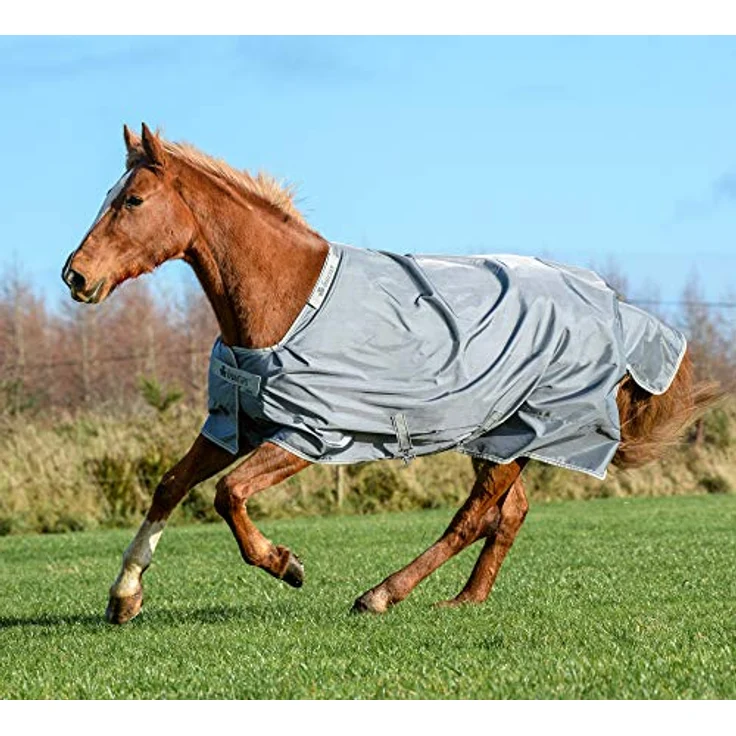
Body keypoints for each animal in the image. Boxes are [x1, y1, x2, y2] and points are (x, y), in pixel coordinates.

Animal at [62, 124, 718, 624]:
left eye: (132, 201)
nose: (76, 276)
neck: (288, 300)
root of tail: (616, 309)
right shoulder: (236, 423)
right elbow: (171, 485)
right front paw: (124, 598)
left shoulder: (310, 434)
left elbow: (229, 494)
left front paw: (286, 564)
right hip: (498, 436)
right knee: (507, 514)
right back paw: (464, 600)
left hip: (520, 432)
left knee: (473, 516)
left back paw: (381, 594)